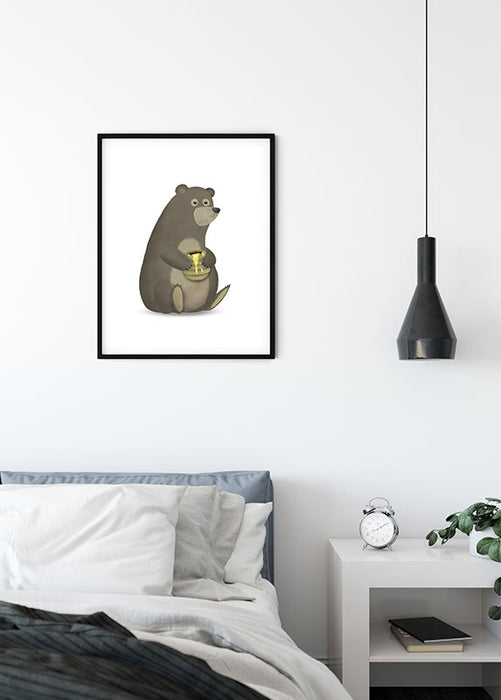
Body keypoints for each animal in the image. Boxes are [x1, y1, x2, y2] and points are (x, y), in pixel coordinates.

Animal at [139, 184, 230, 314]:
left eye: (207, 202)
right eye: (194, 202)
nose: (216, 209)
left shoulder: (201, 245)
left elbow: (208, 251)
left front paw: (208, 259)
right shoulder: (165, 238)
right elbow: (166, 252)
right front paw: (187, 264)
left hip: (212, 281)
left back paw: (218, 297)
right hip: (159, 284)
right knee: (164, 294)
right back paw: (177, 298)